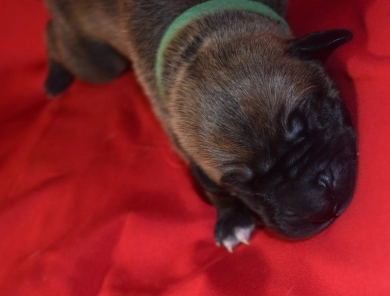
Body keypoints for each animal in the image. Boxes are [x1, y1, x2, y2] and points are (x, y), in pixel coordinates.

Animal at [44, 0, 358, 252]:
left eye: (306, 120)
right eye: (239, 184)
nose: (318, 205)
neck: (199, 32)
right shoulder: (180, 140)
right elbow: (209, 187)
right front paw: (230, 219)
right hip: (98, 63)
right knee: (54, 37)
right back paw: (55, 77)